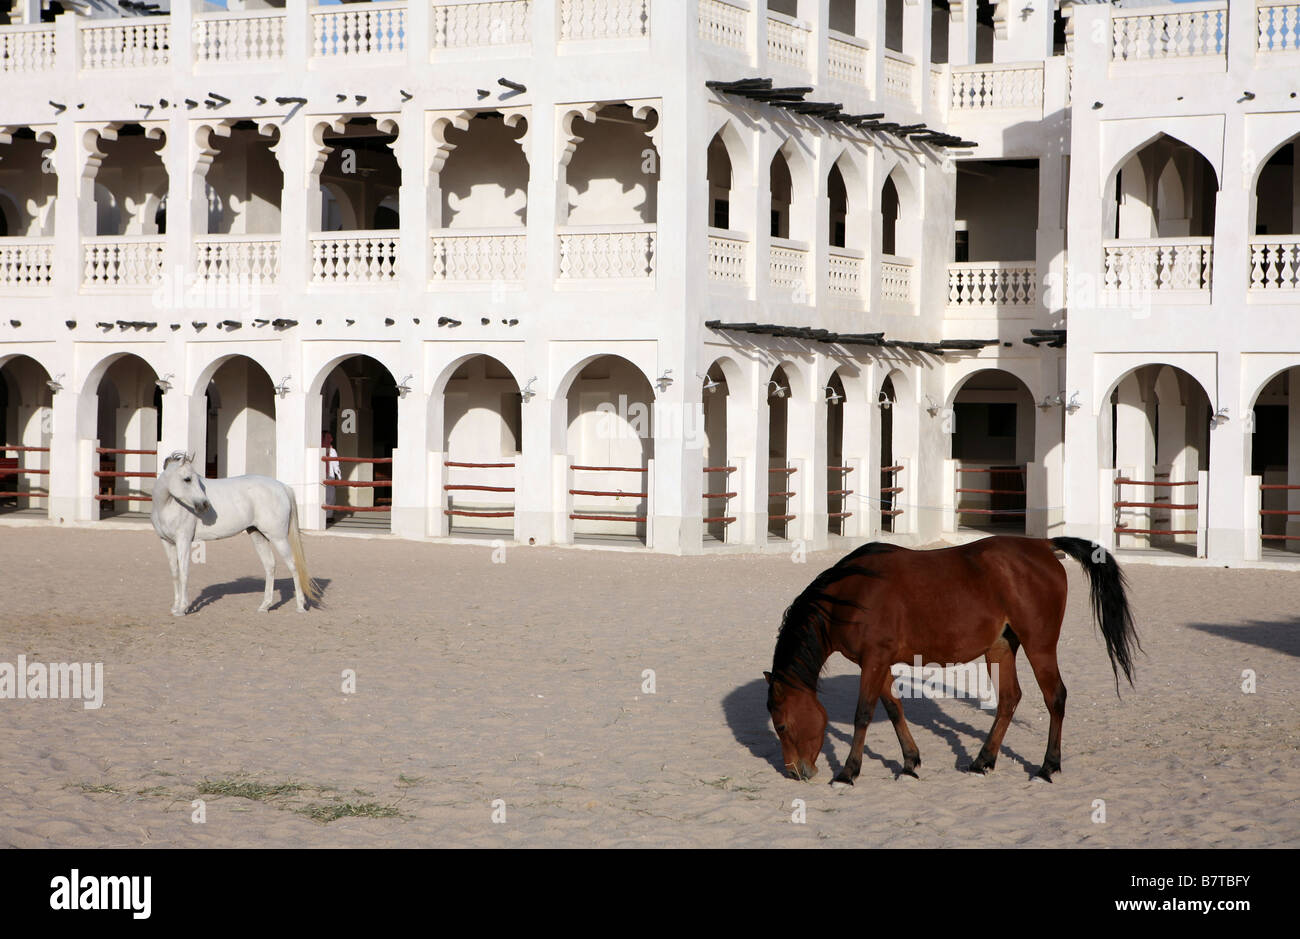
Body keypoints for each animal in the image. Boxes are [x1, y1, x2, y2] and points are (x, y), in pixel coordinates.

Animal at [150, 452, 321, 613]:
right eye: (187, 479)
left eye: (196, 479)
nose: (204, 505)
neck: (168, 505)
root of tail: (283, 487)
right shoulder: (167, 542)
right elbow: (175, 573)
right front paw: (175, 607)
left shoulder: (184, 540)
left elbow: (184, 572)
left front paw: (182, 608)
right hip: (258, 535)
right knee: (270, 565)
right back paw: (264, 606)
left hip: (278, 537)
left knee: (293, 565)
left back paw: (300, 606)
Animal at [759, 533, 1138, 780]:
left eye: (781, 725)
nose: (796, 772)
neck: (850, 593)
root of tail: (1042, 546)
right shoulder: (879, 663)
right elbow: (894, 709)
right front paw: (909, 762)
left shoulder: (873, 661)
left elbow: (863, 714)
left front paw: (848, 772)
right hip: (1000, 648)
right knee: (1008, 700)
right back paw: (983, 761)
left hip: (1039, 645)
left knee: (1055, 697)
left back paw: (1048, 766)